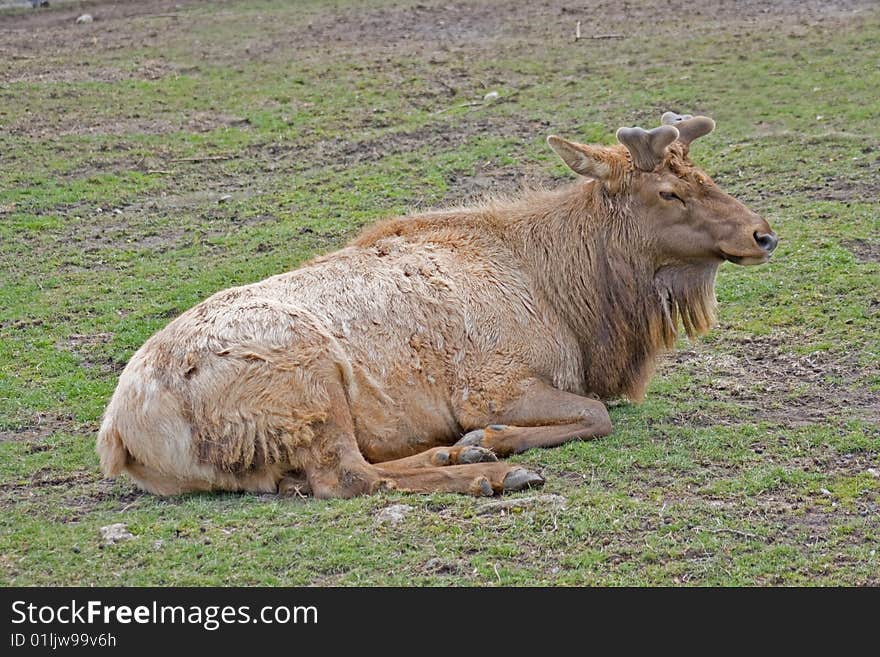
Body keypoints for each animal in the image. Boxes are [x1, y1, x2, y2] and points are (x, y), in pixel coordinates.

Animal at [98, 111, 776, 498]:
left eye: (705, 175)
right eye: (668, 191)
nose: (763, 235)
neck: (572, 301)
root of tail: (119, 435)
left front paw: (484, 441)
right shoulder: (492, 384)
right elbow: (594, 413)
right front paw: (497, 440)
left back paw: (462, 451)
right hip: (305, 384)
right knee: (345, 478)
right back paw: (491, 472)